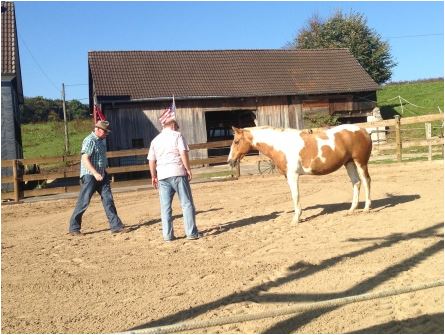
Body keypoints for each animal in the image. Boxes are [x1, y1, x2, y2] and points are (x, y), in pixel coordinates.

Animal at [229, 124, 372, 224]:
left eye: (236, 141)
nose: (230, 161)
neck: (282, 145)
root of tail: (364, 131)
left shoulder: (292, 175)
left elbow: (295, 195)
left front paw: (296, 219)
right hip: (349, 163)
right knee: (356, 182)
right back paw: (351, 210)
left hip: (360, 162)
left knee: (366, 181)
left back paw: (366, 208)